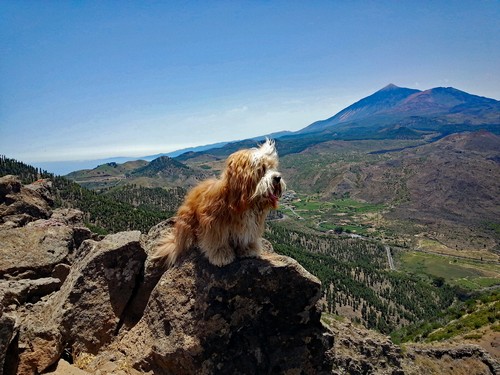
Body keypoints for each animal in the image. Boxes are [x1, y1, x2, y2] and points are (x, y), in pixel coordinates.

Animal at [152, 139, 286, 268]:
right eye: (262, 169)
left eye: (273, 167)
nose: (278, 177)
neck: (243, 202)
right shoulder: (214, 225)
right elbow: (218, 242)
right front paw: (221, 255)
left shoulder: (249, 226)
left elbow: (246, 238)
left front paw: (248, 249)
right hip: (187, 220)